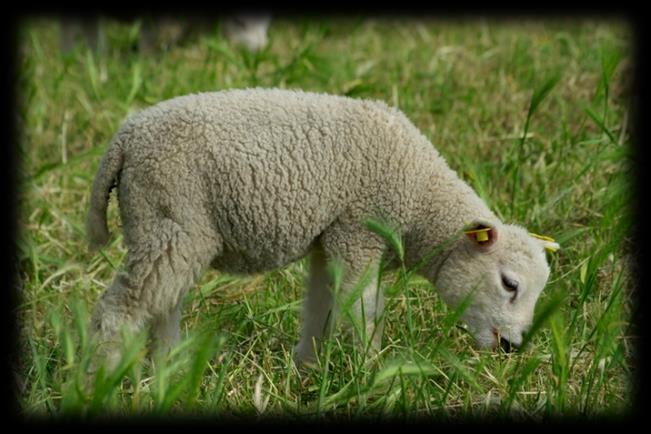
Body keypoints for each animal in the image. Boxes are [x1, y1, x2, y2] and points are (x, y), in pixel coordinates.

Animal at [84, 88, 556, 370]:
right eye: (510, 284)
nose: (513, 347)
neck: (421, 199)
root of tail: (127, 137)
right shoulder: (358, 229)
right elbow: (362, 306)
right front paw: (370, 369)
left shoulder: (327, 241)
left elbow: (320, 305)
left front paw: (308, 368)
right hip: (171, 218)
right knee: (120, 309)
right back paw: (105, 378)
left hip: (168, 227)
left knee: (162, 302)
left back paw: (169, 370)